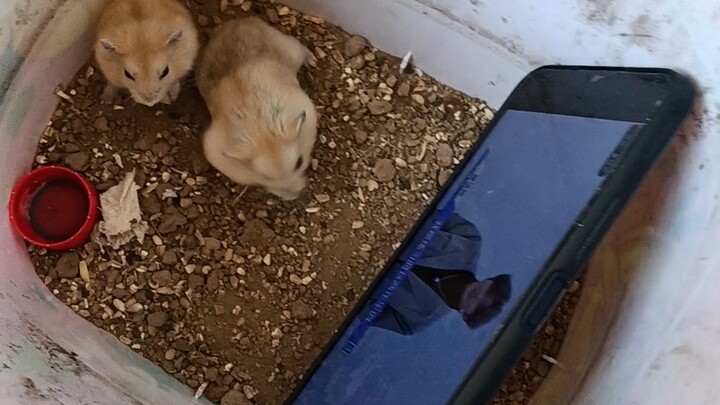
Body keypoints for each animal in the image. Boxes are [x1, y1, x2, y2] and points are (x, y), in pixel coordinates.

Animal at [196, 17, 317, 201]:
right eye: (264, 177)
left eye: (299, 162)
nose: (293, 196)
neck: (263, 132)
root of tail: (239, 21)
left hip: (290, 46)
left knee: (301, 49)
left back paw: (313, 60)